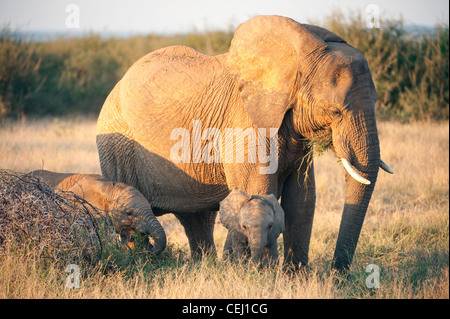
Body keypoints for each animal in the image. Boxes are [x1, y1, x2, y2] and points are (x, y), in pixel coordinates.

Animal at [96, 14, 392, 270]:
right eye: (335, 111)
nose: (337, 274)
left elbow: (302, 199)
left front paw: (296, 278)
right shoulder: (244, 124)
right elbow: (259, 191)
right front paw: (259, 273)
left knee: (197, 217)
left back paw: (205, 268)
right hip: (117, 147)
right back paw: (143, 262)